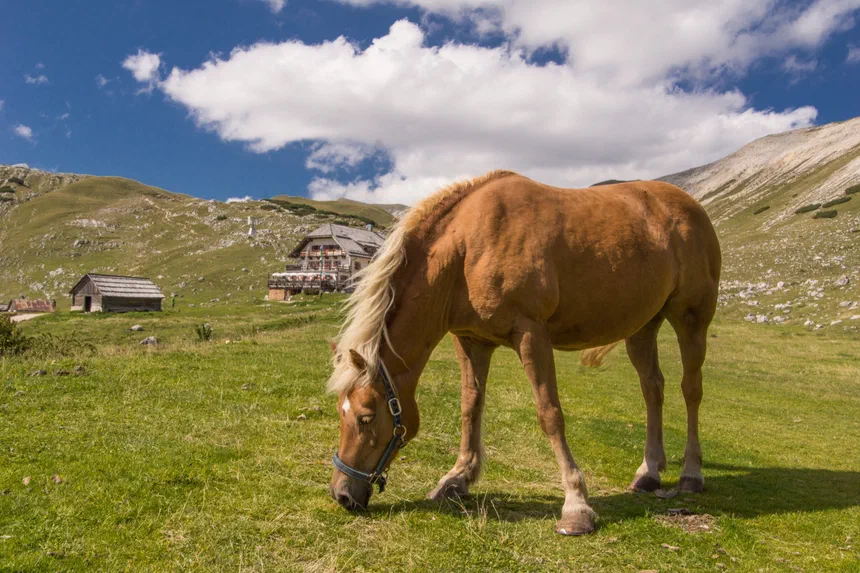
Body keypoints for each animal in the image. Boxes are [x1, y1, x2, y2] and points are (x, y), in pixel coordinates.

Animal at [327, 170, 721, 536]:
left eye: (365, 417)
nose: (341, 494)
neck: (468, 249)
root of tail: (691, 207)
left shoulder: (531, 334)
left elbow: (550, 414)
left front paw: (576, 504)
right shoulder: (470, 340)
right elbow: (470, 407)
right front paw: (457, 478)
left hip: (691, 319)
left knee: (691, 390)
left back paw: (691, 473)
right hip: (642, 327)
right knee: (653, 388)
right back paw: (649, 471)